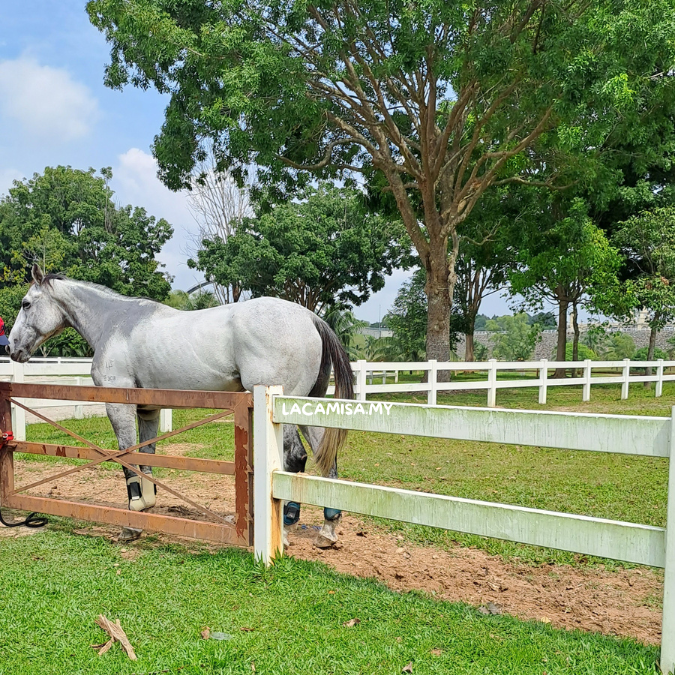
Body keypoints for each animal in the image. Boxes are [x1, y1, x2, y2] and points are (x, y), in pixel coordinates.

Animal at [9, 266, 354, 548]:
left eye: (26, 304)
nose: (11, 347)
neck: (116, 323)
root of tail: (309, 317)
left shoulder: (118, 405)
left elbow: (126, 456)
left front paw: (132, 521)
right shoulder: (148, 409)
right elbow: (144, 456)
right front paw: (146, 507)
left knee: (295, 458)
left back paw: (285, 524)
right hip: (306, 407)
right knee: (326, 457)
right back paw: (328, 529)